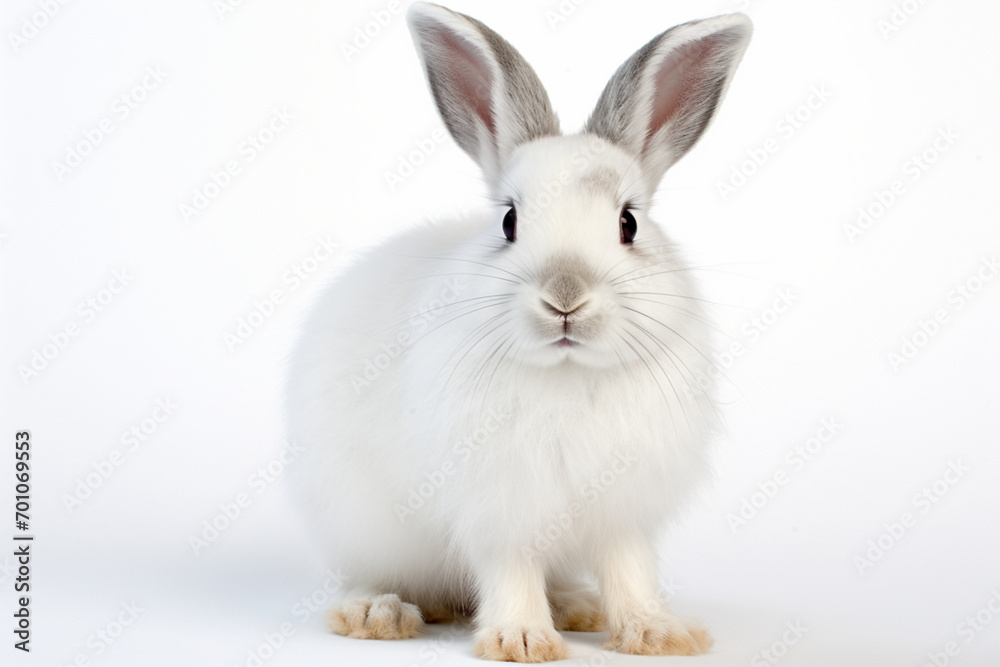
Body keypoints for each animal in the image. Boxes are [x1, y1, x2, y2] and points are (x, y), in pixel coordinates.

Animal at [286, 2, 752, 662]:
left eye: (629, 223)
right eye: (508, 220)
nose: (565, 299)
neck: (567, 371)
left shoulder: (623, 513)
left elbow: (630, 571)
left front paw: (658, 634)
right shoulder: (499, 510)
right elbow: (509, 570)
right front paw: (521, 641)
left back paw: (577, 607)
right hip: (360, 522)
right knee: (370, 574)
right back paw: (379, 614)